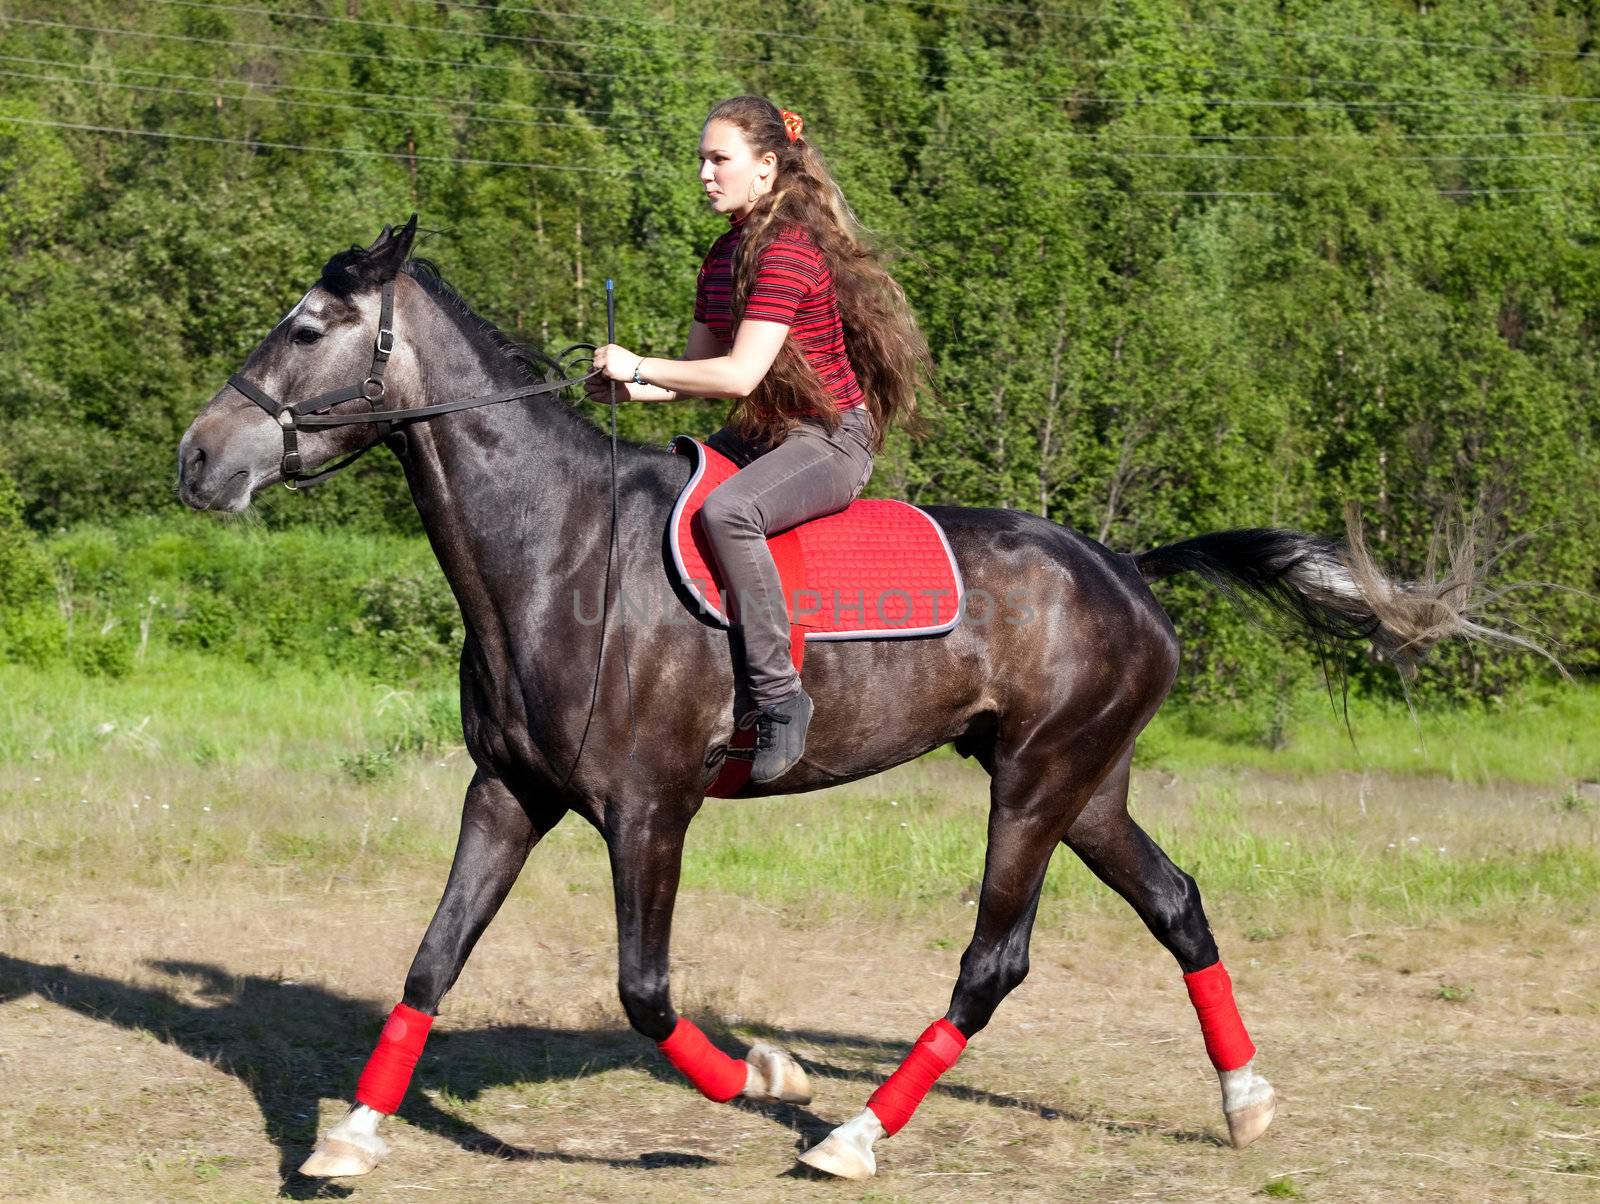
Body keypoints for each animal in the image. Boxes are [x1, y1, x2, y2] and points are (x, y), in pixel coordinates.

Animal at [181, 220, 1504, 1178]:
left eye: (306, 327)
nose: (197, 457)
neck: (557, 554)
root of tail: (1124, 568)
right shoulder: (507, 793)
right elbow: (430, 960)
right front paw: (349, 1136)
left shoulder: (651, 811)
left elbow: (644, 991)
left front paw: (771, 1077)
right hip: (1083, 787)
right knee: (1175, 902)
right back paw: (1245, 1102)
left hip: (1037, 785)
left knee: (993, 961)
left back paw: (852, 1135)